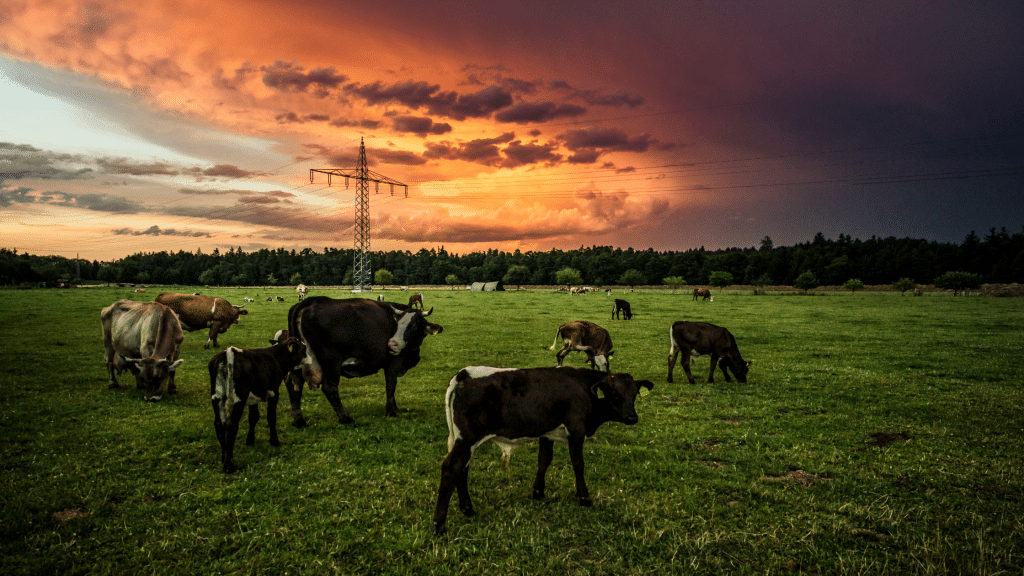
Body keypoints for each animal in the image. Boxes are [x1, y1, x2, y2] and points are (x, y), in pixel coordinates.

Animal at [205, 336, 303, 471]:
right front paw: (274, 441)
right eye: (304, 348)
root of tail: (229, 352)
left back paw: (223, 458)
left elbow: (253, 417)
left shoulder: (252, 398)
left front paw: (250, 440)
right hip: (238, 398)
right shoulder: (273, 392)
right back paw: (229, 465)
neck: (275, 357)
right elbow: (271, 417)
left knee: (219, 424)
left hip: (216, 397)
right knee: (231, 425)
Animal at [286, 295, 442, 422]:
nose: (392, 344)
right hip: (332, 362)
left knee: (295, 385)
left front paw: (394, 407)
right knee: (329, 388)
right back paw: (345, 418)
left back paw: (299, 421)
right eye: (398, 324)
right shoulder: (394, 362)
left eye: (414, 326)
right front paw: (391, 412)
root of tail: (312, 302)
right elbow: (391, 385)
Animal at [434, 366, 655, 532]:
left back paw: (467, 509)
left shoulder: (547, 433)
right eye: (614, 393)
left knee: (462, 470)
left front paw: (538, 492)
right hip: (466, 440)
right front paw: (584, 497)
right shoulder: (576, 430)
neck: (583, 386)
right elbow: (578, 464)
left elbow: (544, 460)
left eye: (634, 393)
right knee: (451, 468)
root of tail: (465, 373)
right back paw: (439, 525)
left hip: (464, 441)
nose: (632, 417)